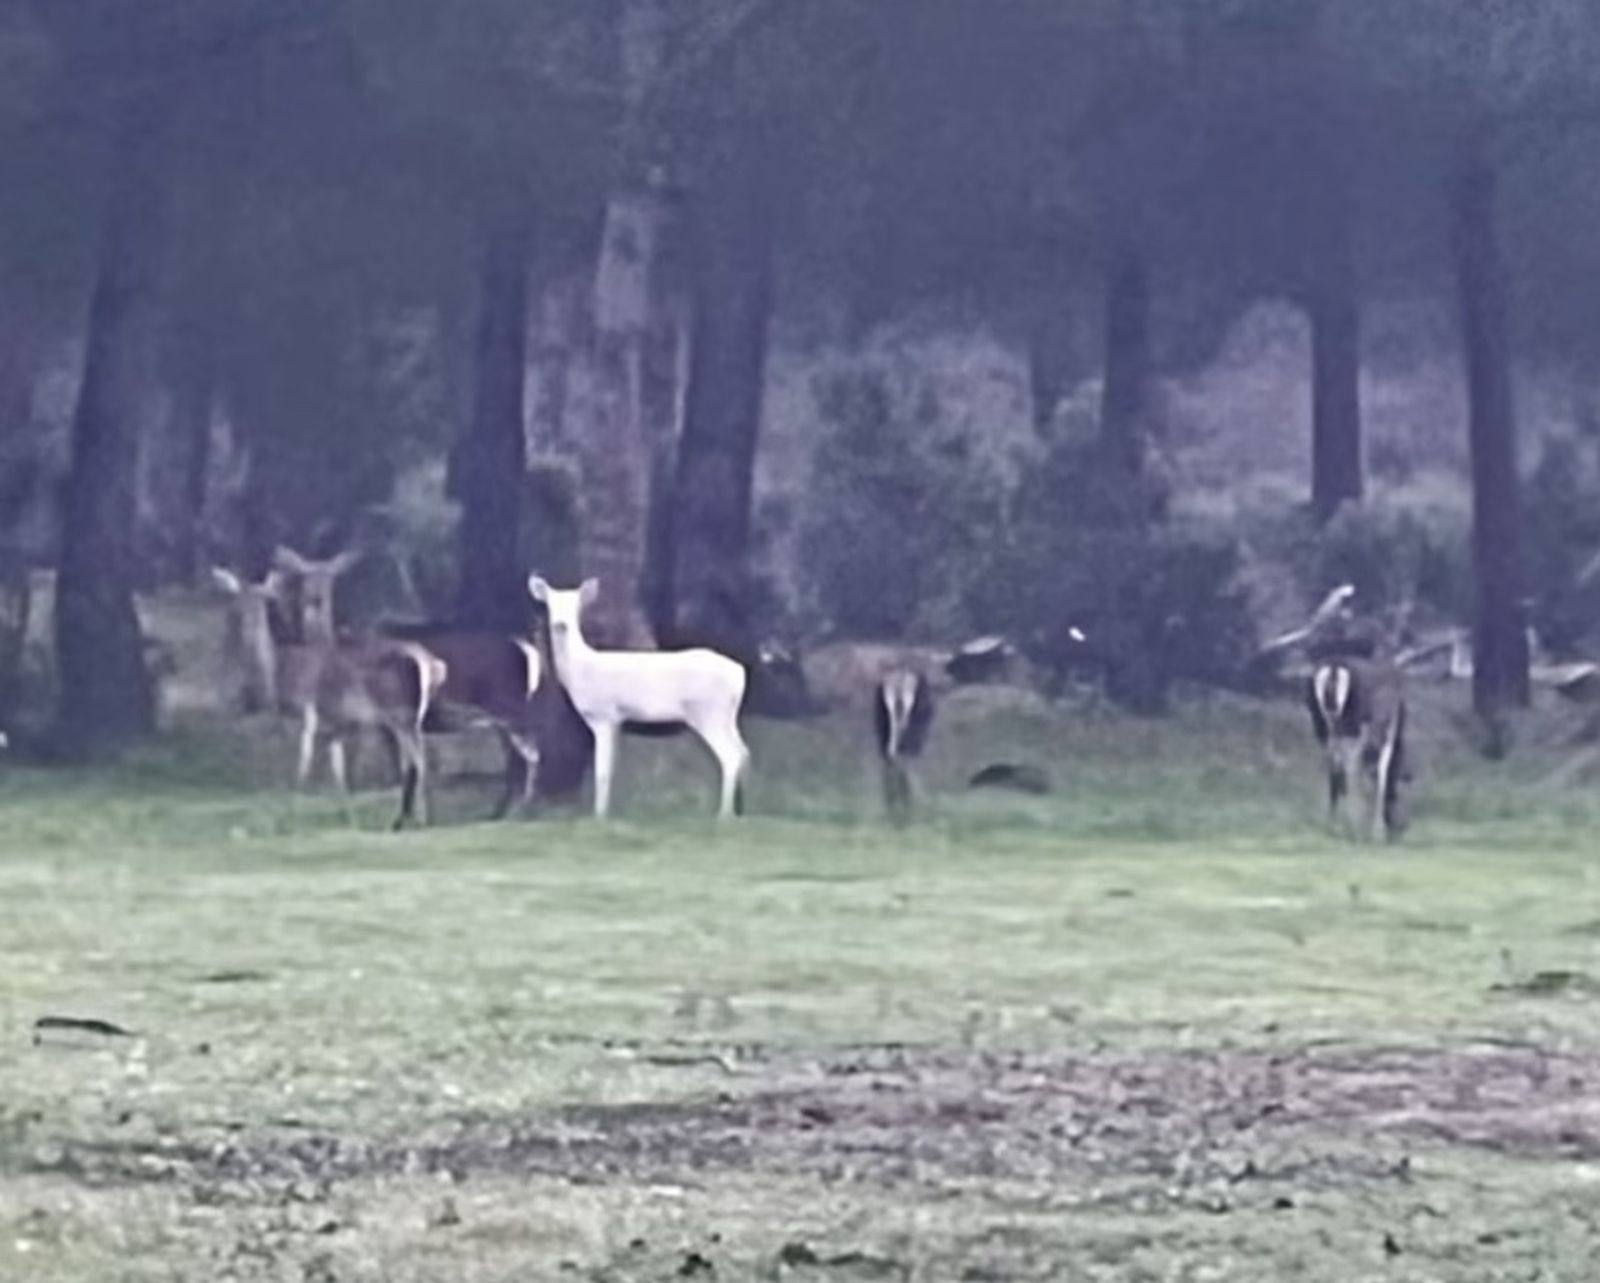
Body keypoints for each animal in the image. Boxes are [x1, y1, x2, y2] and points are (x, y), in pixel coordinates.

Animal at [528, 575, 749, 819]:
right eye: (550, 604)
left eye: (576, 606)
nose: (561, 624)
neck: (581, 670)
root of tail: (739, 673)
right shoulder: (617, 720)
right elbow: (611, 769)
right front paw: (606, 812)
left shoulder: (604, 714)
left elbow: (602, 771)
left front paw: (598, 816)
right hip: (726, 716)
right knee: (743, 751)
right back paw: (738, 811)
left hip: (708, 712)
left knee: (730, 755)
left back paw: (724, 814)